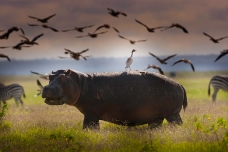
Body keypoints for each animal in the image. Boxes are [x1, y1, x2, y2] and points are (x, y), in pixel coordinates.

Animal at [42, 69, 187, 129]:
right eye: (49, 76)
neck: (81, 82)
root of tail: (179, 84)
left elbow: (89, 127)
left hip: (172, 114)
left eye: (63, 77)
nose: (47, 88)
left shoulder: (91, 113)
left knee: (178, 125)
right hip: (157, 117)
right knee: (155, 127)